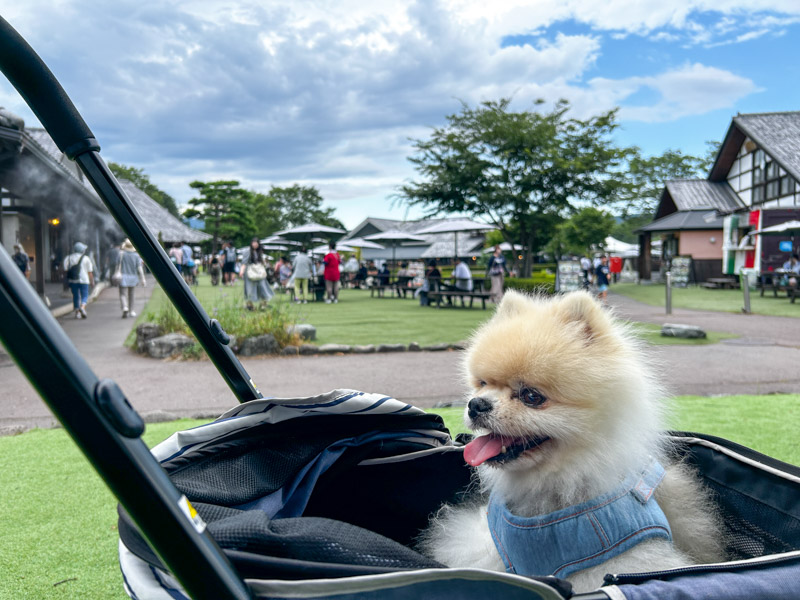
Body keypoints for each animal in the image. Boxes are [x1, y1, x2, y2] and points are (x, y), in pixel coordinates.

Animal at [418, 292, 724, 596]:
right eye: (482, 384)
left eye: (531, 396)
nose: (476, 404)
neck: (557, 487)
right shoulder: (487, 546)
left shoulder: (618, 562)